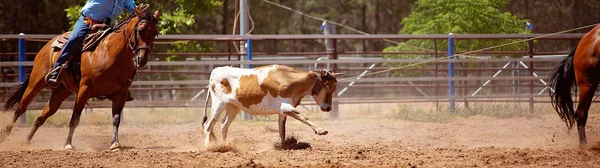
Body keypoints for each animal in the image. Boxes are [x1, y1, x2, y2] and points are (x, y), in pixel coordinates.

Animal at [0, 4, 159, 151]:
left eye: (155, 34)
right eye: (141, 30)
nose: (142, 59)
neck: (110, 53)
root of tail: (49, 44)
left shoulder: (121, 93)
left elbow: (116, 119)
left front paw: (115, 143)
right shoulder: (84, 89)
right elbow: (75, 119)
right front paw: (68, 144)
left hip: (61, 91)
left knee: (41, 117)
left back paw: (26, 141)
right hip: (35, 83)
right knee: (20, 108)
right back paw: (6, 137)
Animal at [202, 64, 342, 146]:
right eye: (329, 87)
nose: (328, 108)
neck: (287, 79)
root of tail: (215, 71)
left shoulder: (282, 112)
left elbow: (282, 130)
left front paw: (285, 145)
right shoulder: (285, 107)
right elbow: (304, 117)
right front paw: (320, 130)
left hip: (233, 107)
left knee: (224, 125)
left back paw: (225, 145)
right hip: (219, 104)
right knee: (208, 125)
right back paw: (208, 147)